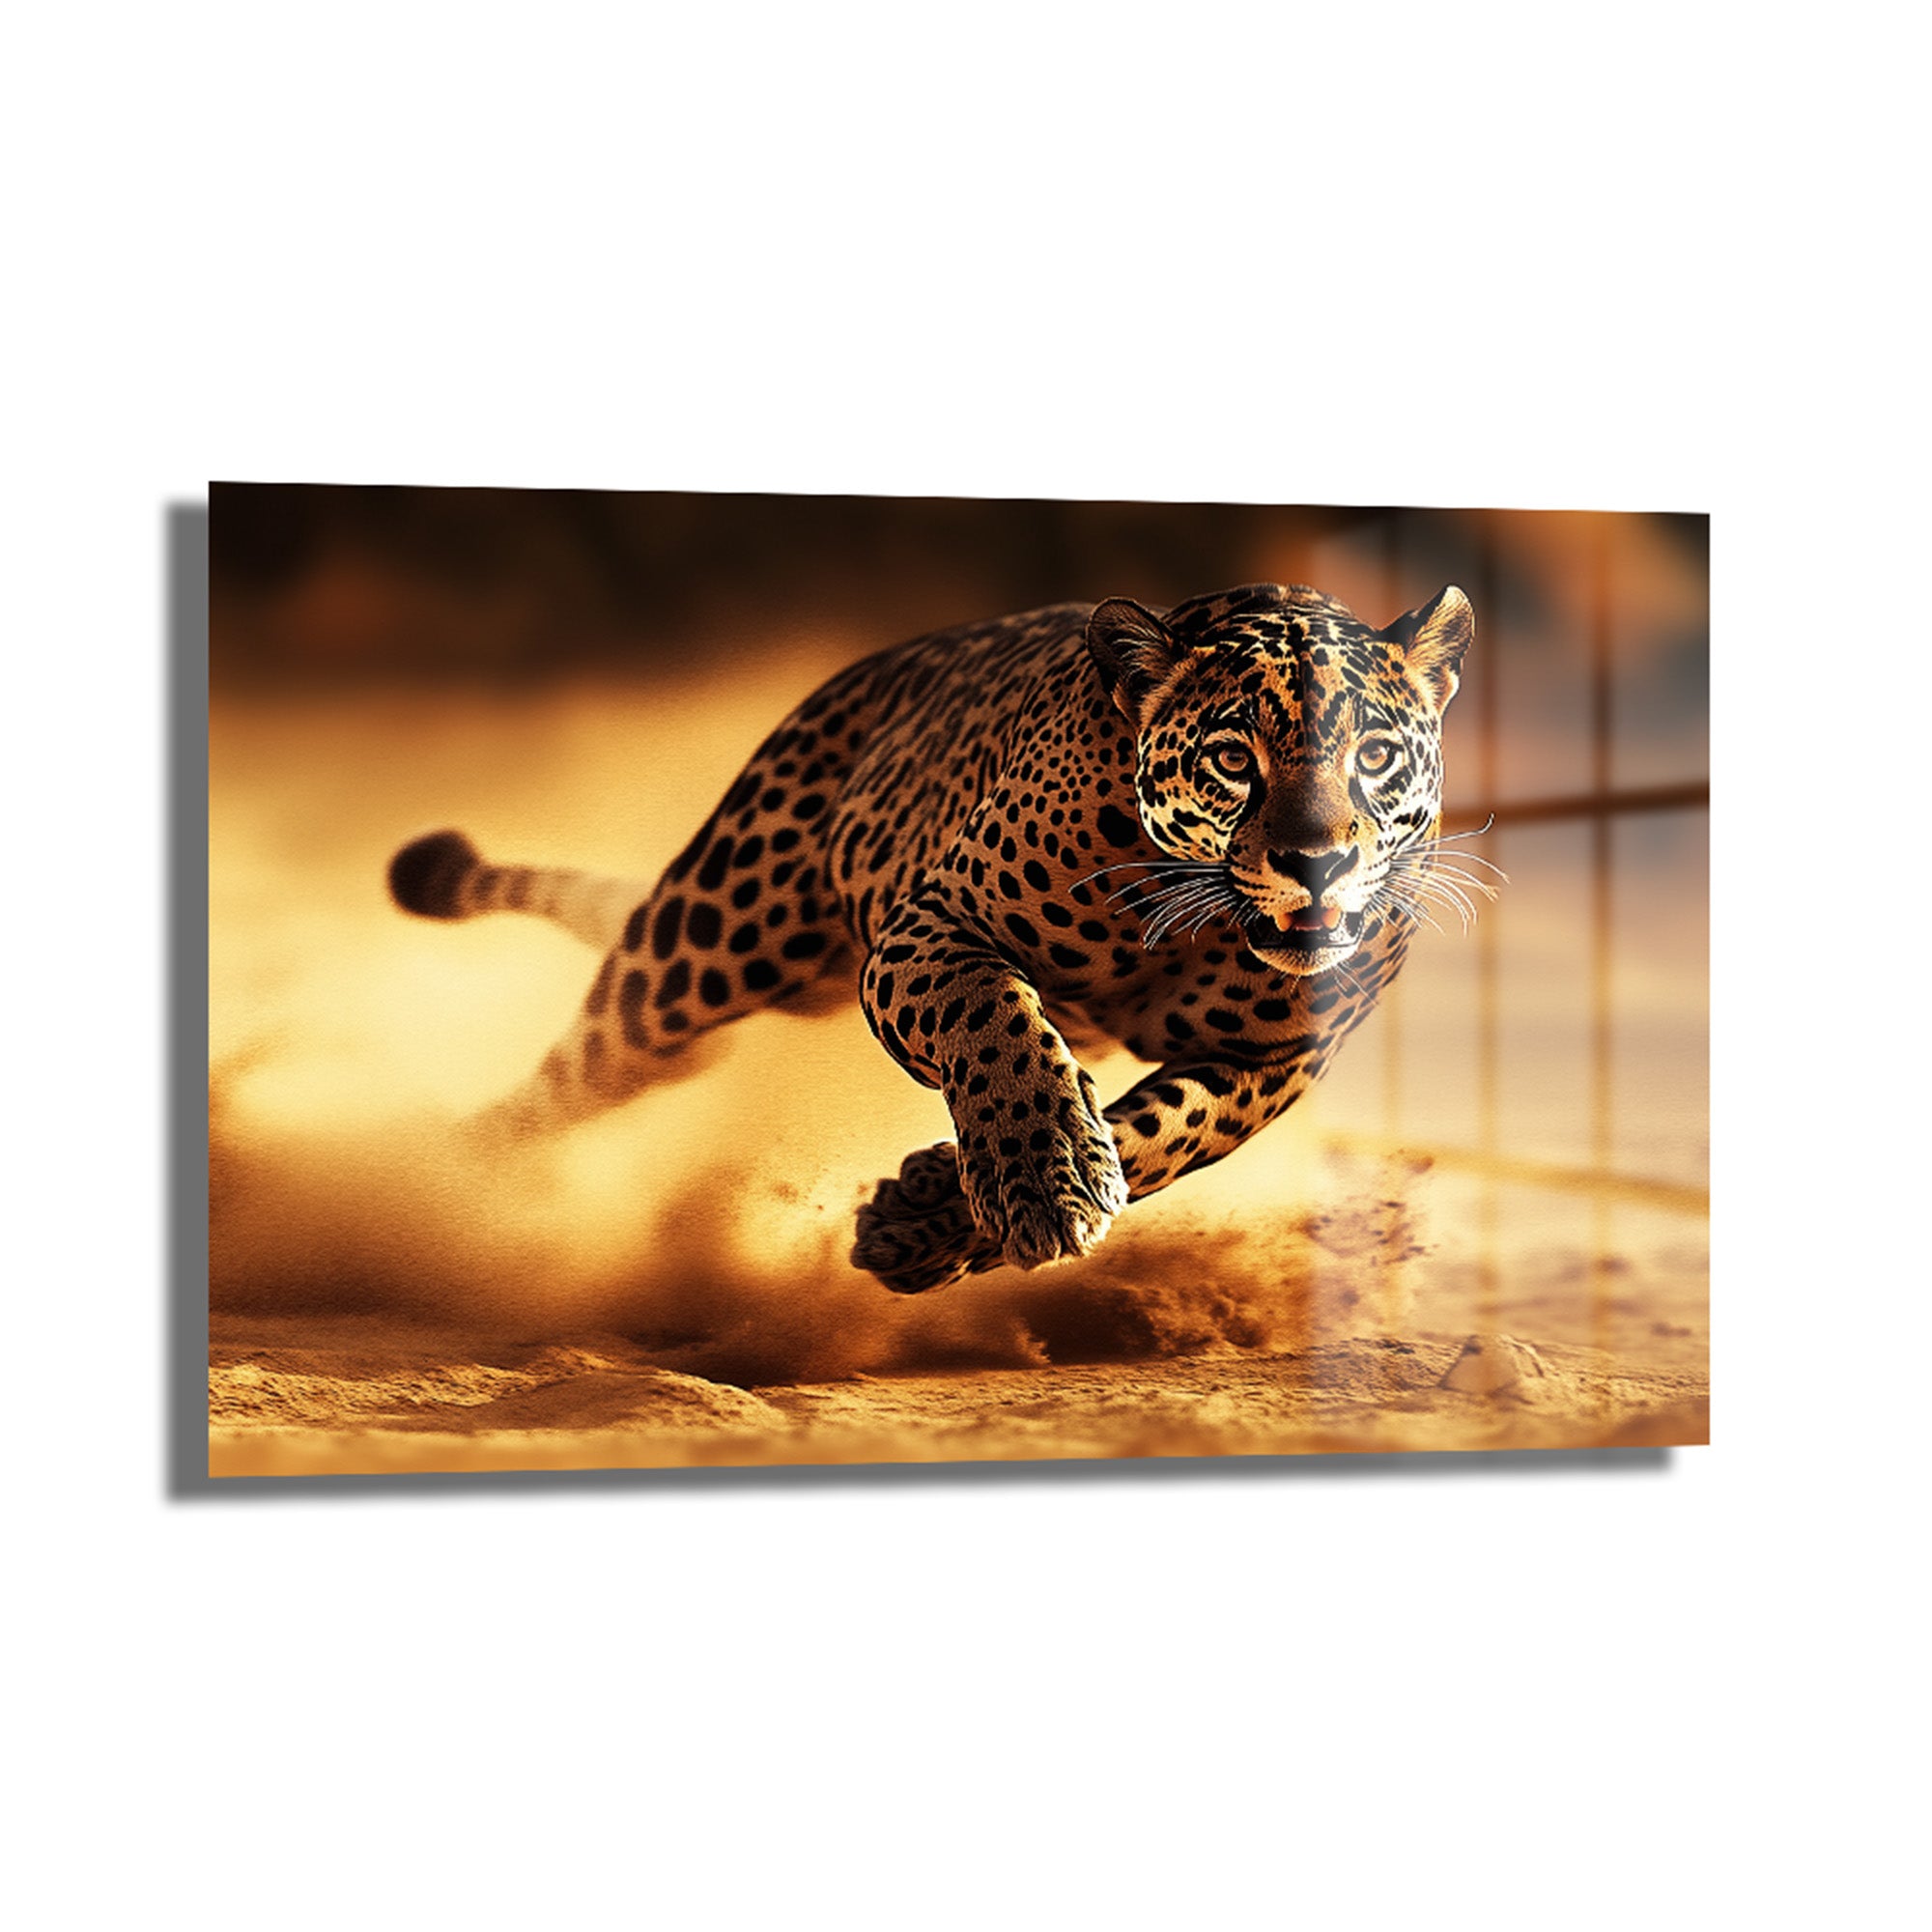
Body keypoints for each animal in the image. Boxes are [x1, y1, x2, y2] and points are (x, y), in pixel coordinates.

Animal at [387, 580, 1481, 1294]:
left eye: (1373, 755)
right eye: (1230, 757)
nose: (1317, 862)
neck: (1191, 923)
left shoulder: (1270, 1060)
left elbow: (1164, 1136)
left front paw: (925, 1220)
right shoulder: (933, 924)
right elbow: (996, 1020)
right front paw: (1040, 1176)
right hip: (699, 945)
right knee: (573, 1077)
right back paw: (437, 1196)